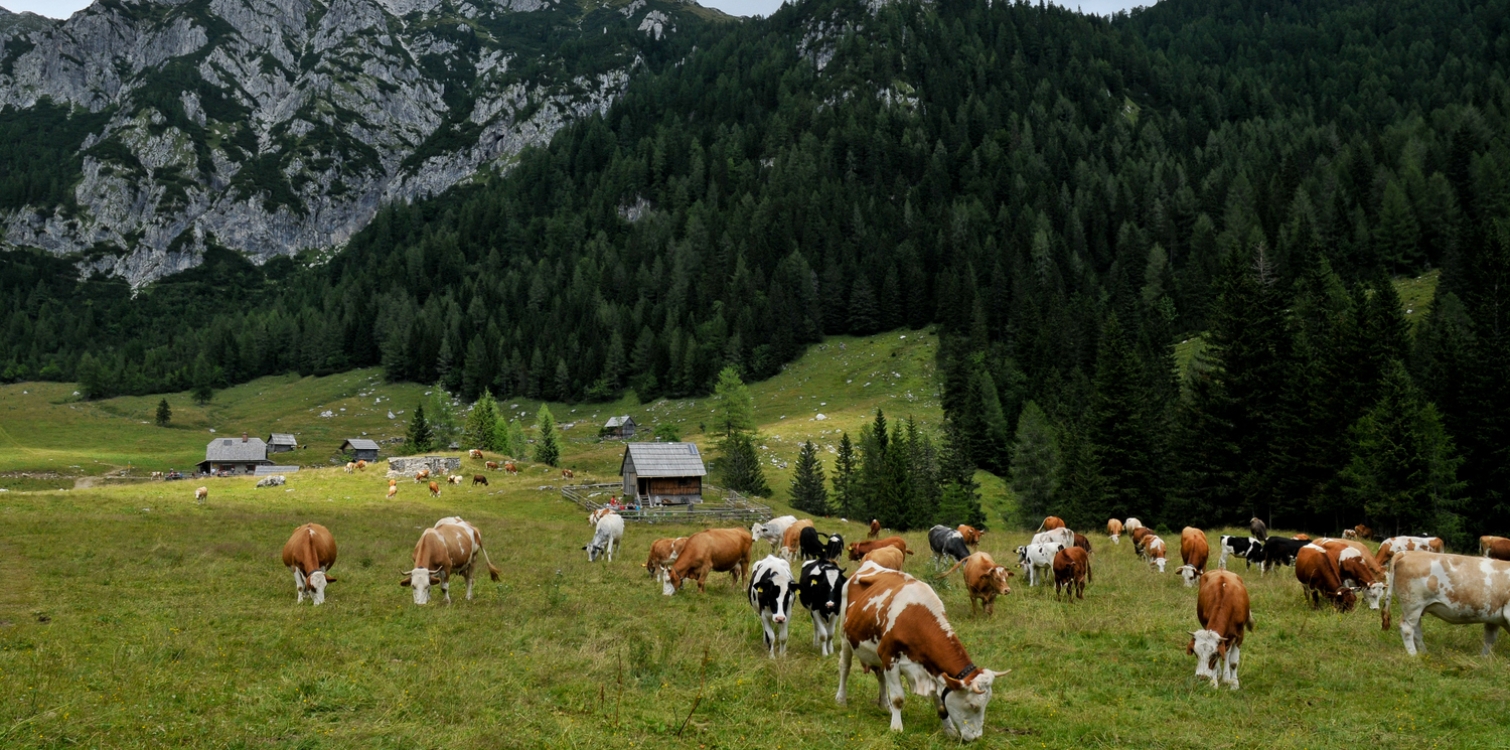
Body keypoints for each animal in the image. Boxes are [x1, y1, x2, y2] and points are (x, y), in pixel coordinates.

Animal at [833, 561, 1008, 736]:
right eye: (973, 705)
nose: (976, 737)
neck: (915, 617)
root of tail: (868, 564)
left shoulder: (931, 668)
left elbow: (941, 704)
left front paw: (950, 731)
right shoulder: (890, 658)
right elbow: (898, 698)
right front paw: (896, 728)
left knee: (880, 676)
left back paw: (884, 705)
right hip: (844, 636)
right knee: (845, 667)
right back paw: (841, 699)